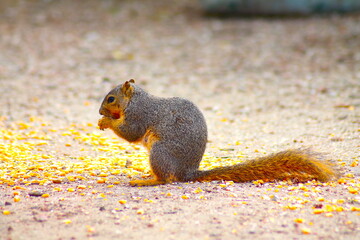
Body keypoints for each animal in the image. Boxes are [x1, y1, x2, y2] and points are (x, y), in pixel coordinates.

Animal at [97, 79, 338, 187]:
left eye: (110, 98)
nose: (99, 111)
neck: (134, 101)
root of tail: (188, 172)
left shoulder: (140, 114)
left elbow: (131, 132)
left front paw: (106, 121)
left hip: (160, 152)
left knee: (166, 179)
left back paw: (147, 181)